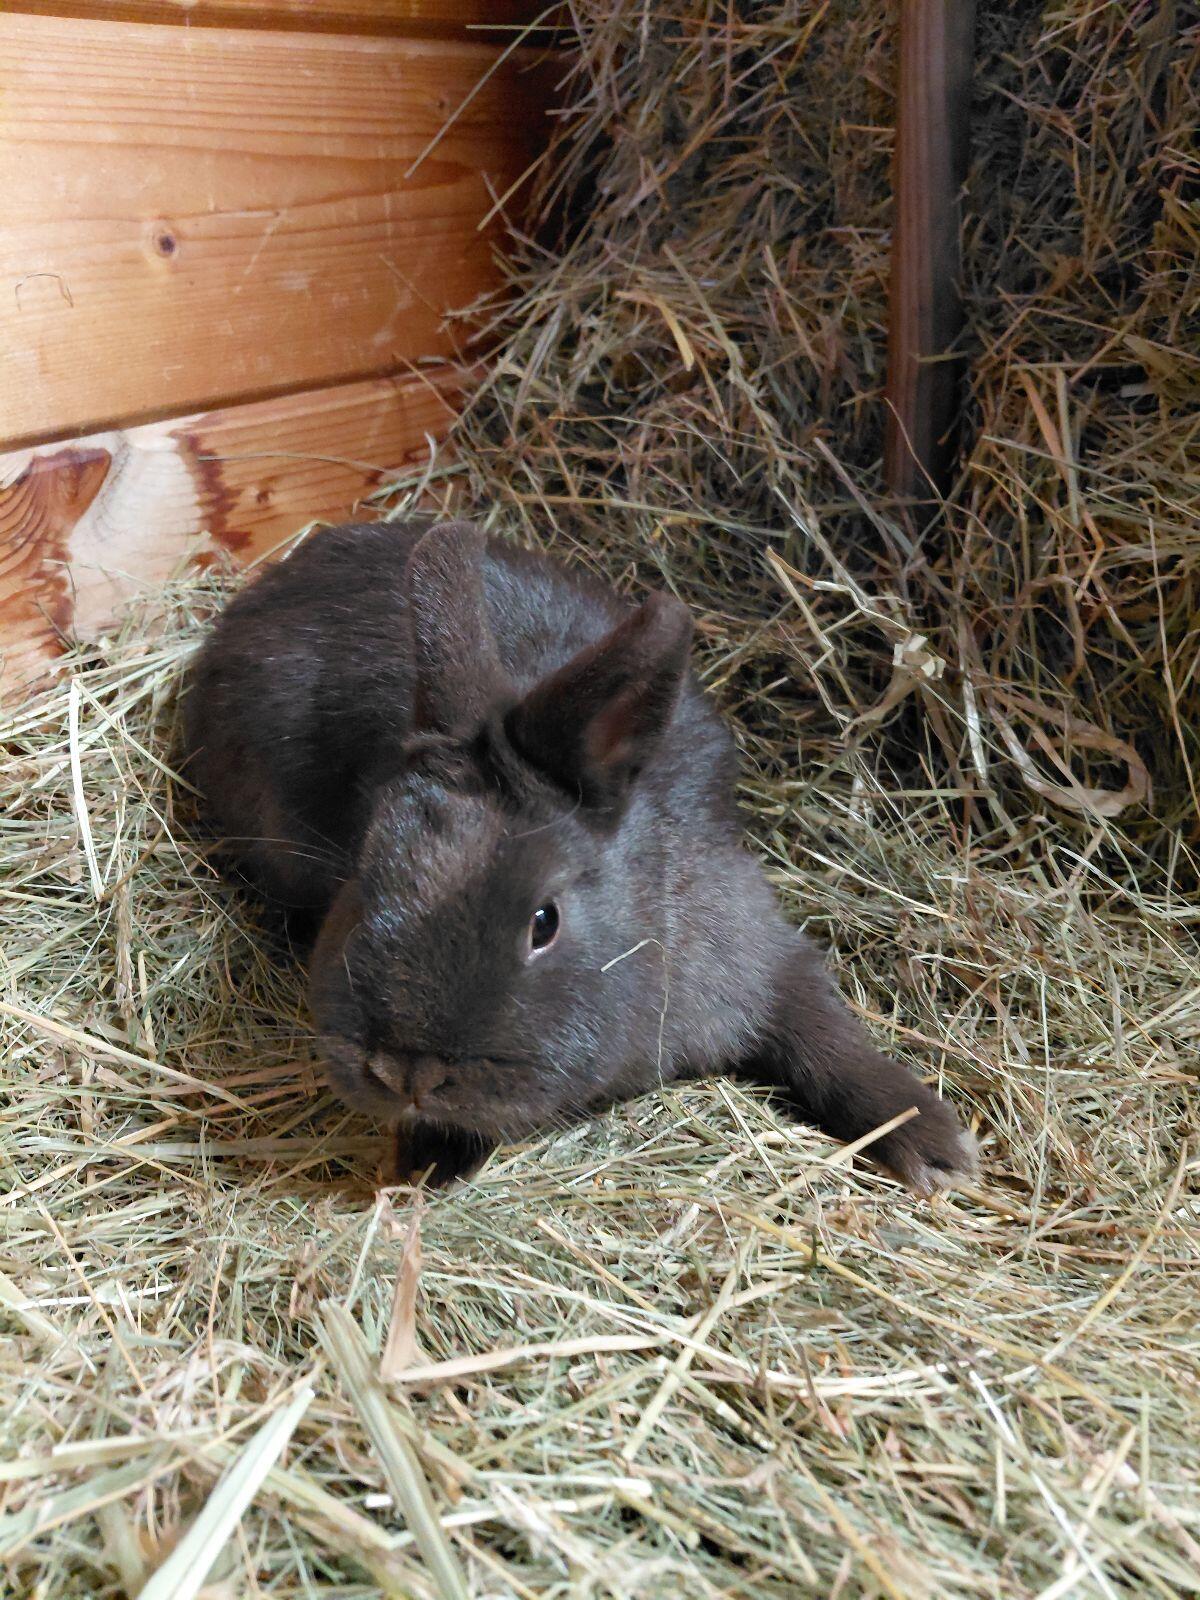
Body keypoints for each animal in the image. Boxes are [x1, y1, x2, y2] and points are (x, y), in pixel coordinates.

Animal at [183, 518, 977, 1193]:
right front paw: (428, 1163)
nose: (405, 1072)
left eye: (545, 921)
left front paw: (934, 1143)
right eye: (363, 874)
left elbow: (825, 1036)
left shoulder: (766, 959)